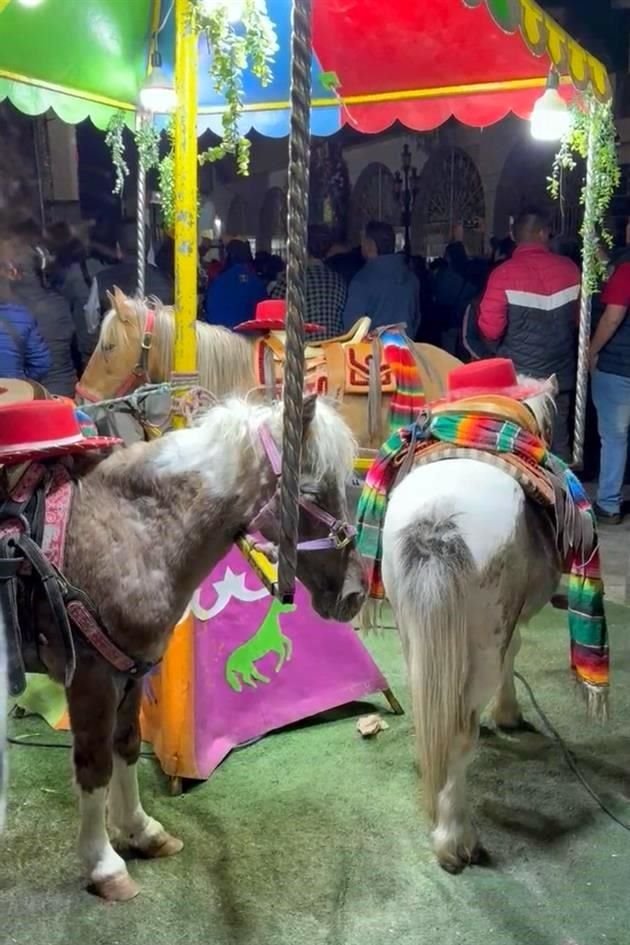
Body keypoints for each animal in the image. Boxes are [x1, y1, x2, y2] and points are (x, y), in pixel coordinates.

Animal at [23, 390, 366, 900]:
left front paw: (141, 831)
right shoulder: (91, 677)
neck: (127, 531)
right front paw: (104, 865)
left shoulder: (130, 672)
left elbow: (127, 745)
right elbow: (94, 763)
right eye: (308, 492)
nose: (356, 594)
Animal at [382, 376, 560, 872]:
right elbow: (514, 653)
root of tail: (438, 520)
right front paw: (509, 715)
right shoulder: (508, 628)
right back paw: (455, 840)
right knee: (462, 733)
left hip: (414, 635)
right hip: (480, 647)